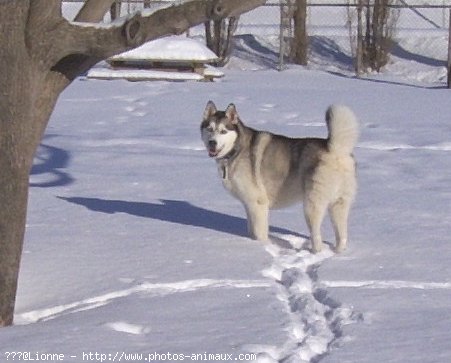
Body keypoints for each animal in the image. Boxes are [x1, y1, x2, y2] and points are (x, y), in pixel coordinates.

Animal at [202, 99, 360, 253]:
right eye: (209, 129)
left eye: (223, 131)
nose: (212, 143)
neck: (236, 149)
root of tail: (335, 149)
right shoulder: (249, 204)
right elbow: (252, 230)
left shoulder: (258, 203)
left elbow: (259, 233)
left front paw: (262, 246)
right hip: (339, 204)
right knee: (342, 235)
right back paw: (339, 253)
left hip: (312, 205)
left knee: (316, 236)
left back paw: (315, 252)